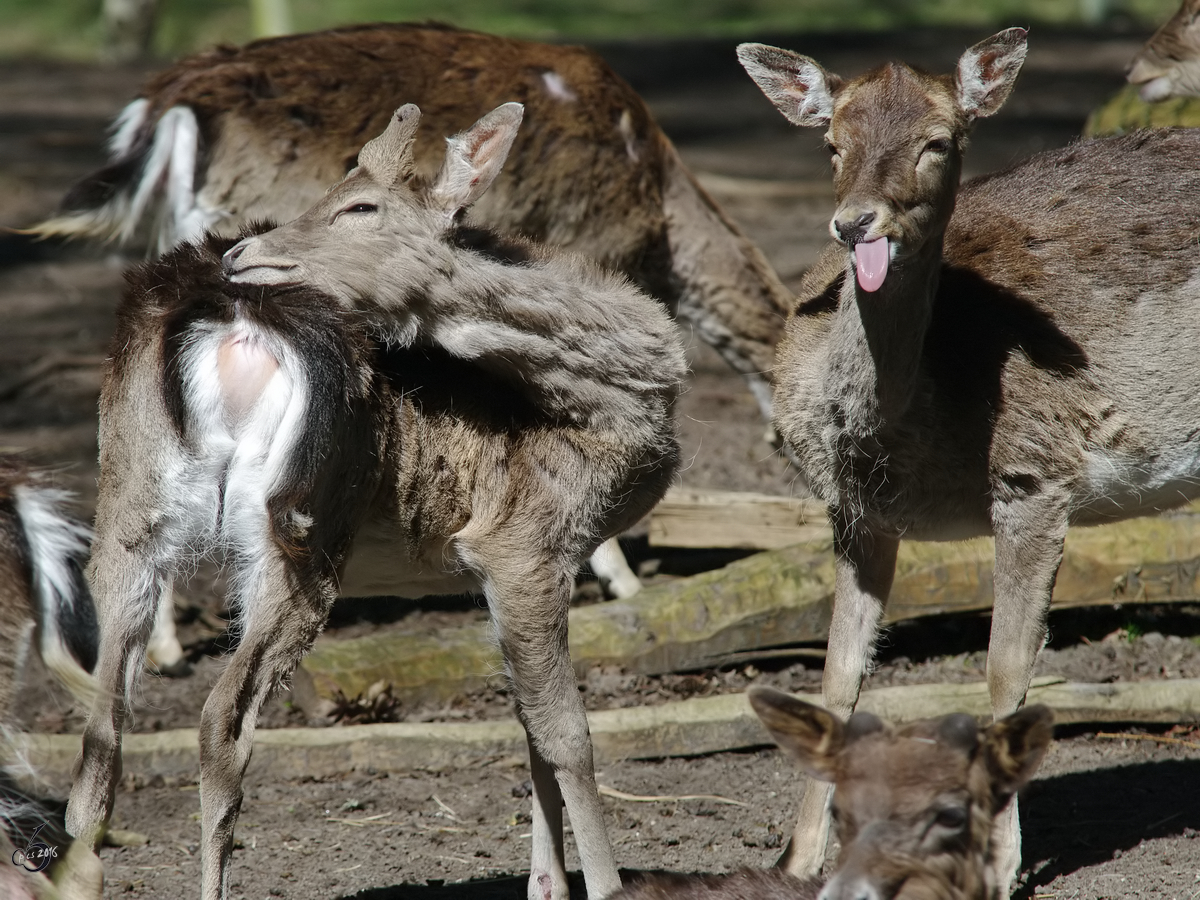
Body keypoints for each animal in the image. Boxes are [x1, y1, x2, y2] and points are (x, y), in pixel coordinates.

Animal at [63, 102, 686, 900]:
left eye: (359, 205)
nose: (244, 254)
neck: (615, 410)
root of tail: (229, 316)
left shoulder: (499, 566)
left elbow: (526, 725)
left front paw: (544, 884)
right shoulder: (526, 542)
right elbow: (566, 734)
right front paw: (601, 885)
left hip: (128, 504)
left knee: (101, 731)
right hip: (302, 524)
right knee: (220, 719)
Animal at [734, 26, 1200, 897]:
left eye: (938, 142)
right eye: (831, 142)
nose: (855, 223)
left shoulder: (1035, 478)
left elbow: (1005, 671)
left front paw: (999, 862)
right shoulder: (854, 513)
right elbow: (838, 673)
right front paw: (798, 857)